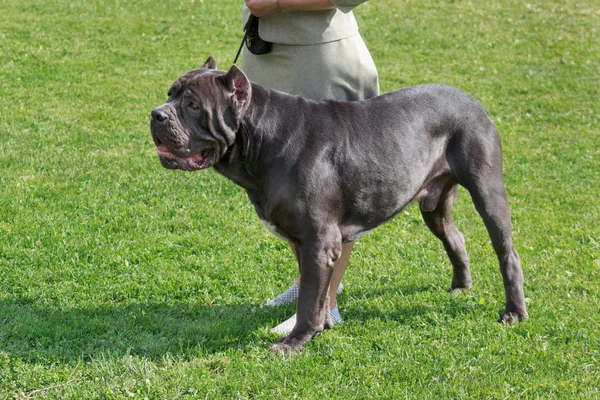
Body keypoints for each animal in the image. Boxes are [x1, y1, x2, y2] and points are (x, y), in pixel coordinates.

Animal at [151, 55, 528, 354]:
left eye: (193, 105)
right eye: (170, 94)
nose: (156, 115)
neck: (260, 139)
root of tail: (473, 101)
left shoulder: (319, 240)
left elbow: (309, 297)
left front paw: (294, 342)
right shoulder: (302, 240)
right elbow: (314, 292)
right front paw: (320, 327)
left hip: (487, 191)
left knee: (506, 251)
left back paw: (515, 312)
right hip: (433, 204)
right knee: (454, 235)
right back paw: (461, 285)